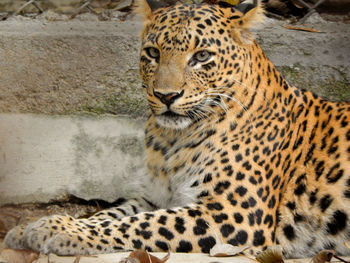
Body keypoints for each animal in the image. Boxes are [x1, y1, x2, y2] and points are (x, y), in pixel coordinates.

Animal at [3, 0, 350, 260]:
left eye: (202, 56)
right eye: (153, 53)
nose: (166, 96)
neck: (174, 139)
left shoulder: (232, 213)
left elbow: (139, 225)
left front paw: (58, 230)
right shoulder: (155, 196)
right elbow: (113, 214)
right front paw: (32, 227)